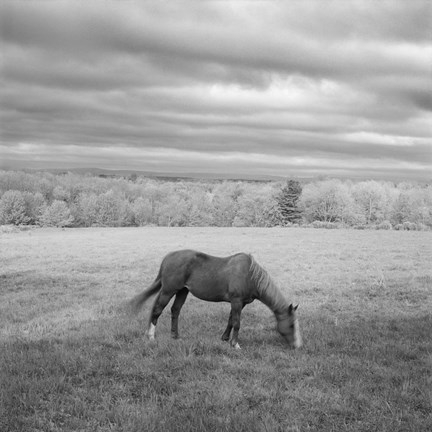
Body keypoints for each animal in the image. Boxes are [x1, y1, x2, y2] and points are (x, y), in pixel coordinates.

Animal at [130, 248, 302, 350]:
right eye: (292, 325)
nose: (298, 346)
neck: (249, 275)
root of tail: (167, 257)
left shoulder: (240, 303)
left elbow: (231, 320)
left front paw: (225, 339)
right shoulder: (237, 301)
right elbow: (237, 323)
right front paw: (235, 344)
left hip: (182, 291)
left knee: (175, 310)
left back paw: (175, 336)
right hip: (168, 290)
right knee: (157, 310)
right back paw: (151, 337)